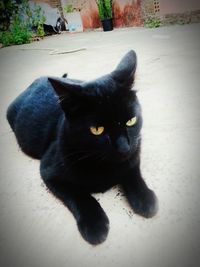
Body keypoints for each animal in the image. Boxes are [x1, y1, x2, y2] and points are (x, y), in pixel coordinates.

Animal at [6, 51, 158, 246]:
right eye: (97, 130)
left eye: (131, 121)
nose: (124, 147)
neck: (103, 165)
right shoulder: (49, 171)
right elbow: (80, 195)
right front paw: (95, 225)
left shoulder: (134, 152)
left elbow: (133, 172)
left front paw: (145, 198)